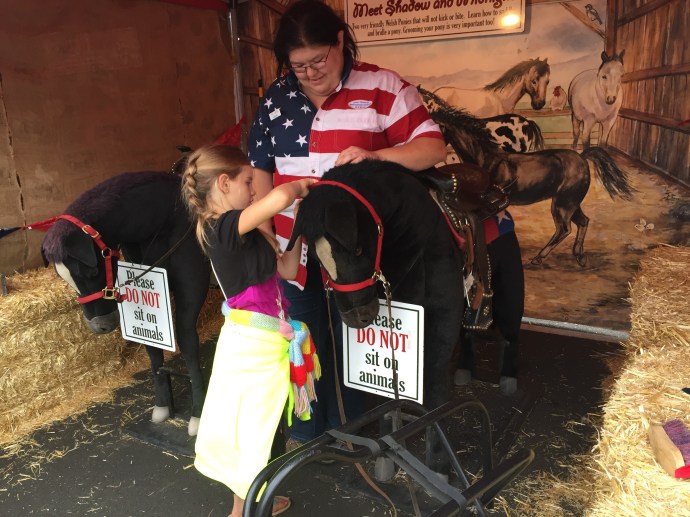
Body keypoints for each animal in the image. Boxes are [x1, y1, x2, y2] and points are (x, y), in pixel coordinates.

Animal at [41, 171, 210, 436]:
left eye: (91, 271)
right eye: (64, 279)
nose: (99, 326)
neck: (168, 220)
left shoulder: (191, 290)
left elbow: (188, 342)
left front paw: (198, 416)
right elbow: (152, 347)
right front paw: (162, 406)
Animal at [287, 160, 466, 473]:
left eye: (358, 248)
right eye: (317, 259)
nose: (357, 317)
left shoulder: (442, 325)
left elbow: (436, 394)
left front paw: (439, 461)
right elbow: (386, 393)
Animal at [418, 87, 635, 266]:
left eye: (431, 127)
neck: (485, 159)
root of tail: (582, 157)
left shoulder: (493, 203)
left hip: (563, 204)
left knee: (564, 229)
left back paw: (539, 258)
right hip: (571, 203)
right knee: (583, 221)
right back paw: (579, 256)